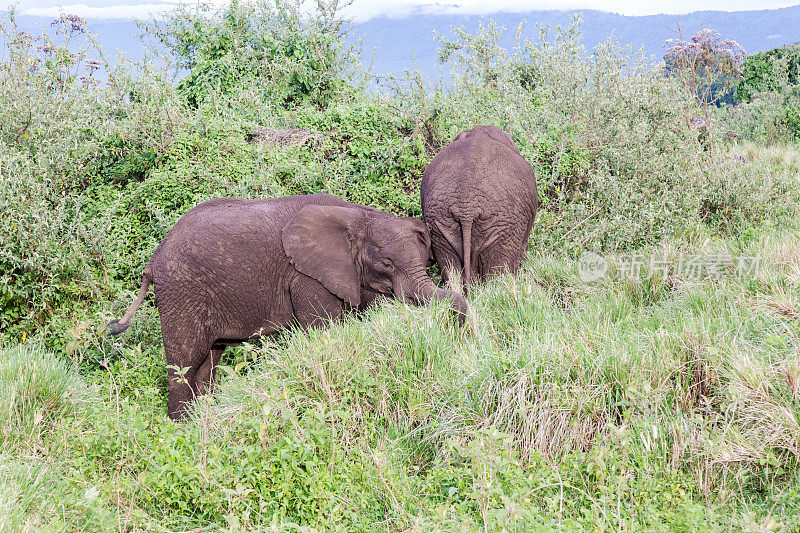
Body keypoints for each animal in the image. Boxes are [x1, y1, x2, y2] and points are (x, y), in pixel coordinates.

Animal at [108, 193, 468, 418]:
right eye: (387, 264)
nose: (460, 329)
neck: (357, 216)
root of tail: (153, 259)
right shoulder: (305, 276)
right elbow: (324, 330)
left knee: (206, 362)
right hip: (182, 290)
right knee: (184, 363)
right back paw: (181, 430)